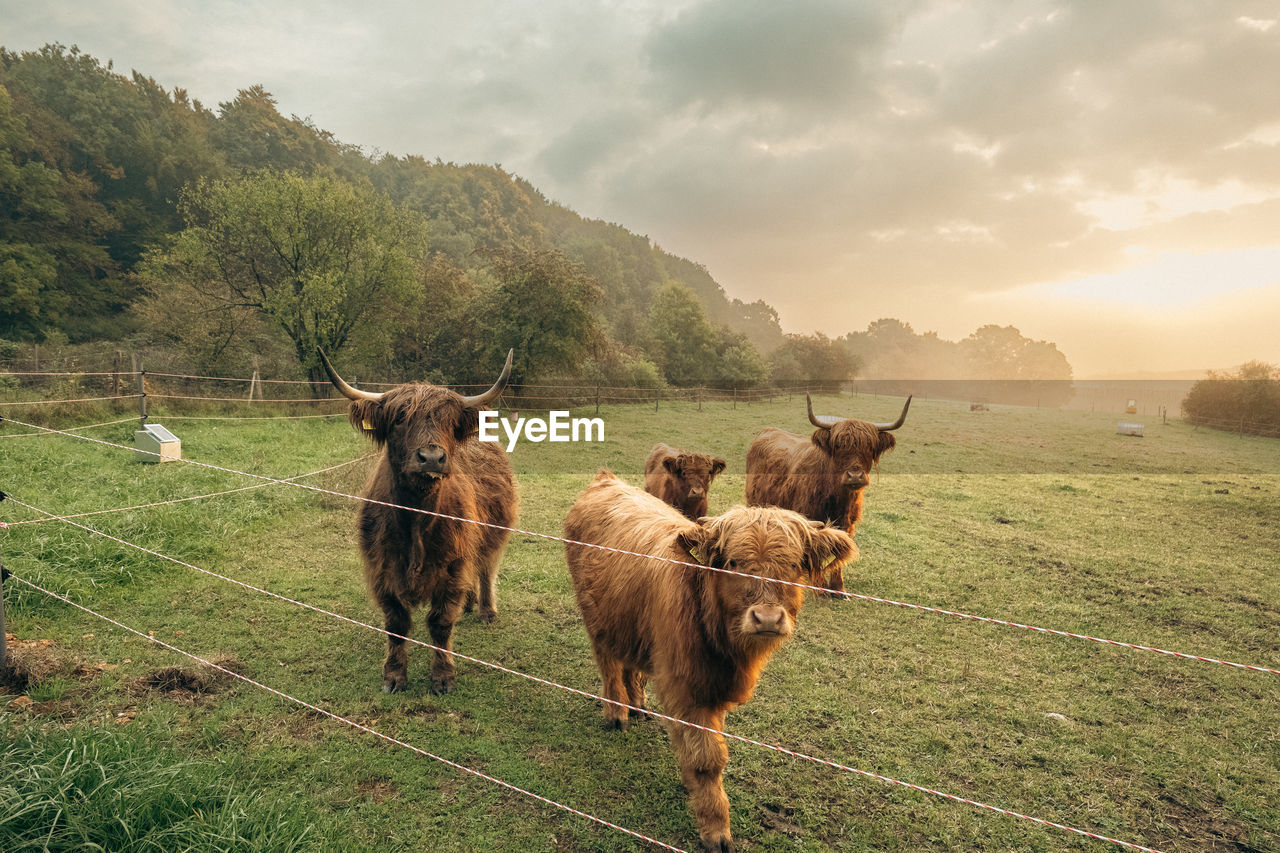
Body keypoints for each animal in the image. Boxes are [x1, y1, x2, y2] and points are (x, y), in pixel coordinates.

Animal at [320, 348, 519, 696]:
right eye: (400, 418)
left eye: (450, 422)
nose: (431, 458)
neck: (415, 519)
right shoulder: (382, 569)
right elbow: (396, 624)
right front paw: (394, 676)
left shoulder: (452, 568)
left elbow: (440, 624)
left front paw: (443, 678)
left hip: (495, 533)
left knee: (485, 568)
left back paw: (485, 611)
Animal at [565, 471, 855, 850]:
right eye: (733, 563)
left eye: (794, 565)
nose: (767, 618)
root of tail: (606, 480)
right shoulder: (687, 689)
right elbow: (707, 759)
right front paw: (716, 831)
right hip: (596, 615)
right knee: (608, 663)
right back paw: (617, 713)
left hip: (626, 619)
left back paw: (638, 703)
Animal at [742, 391, 911, 591]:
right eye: (838, 446)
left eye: (869, 447)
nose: (855, 475)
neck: (838, 497)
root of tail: (768, 431)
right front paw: (820, 586)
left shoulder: (848, 524)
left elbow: (840, 551)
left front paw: (838, 587)